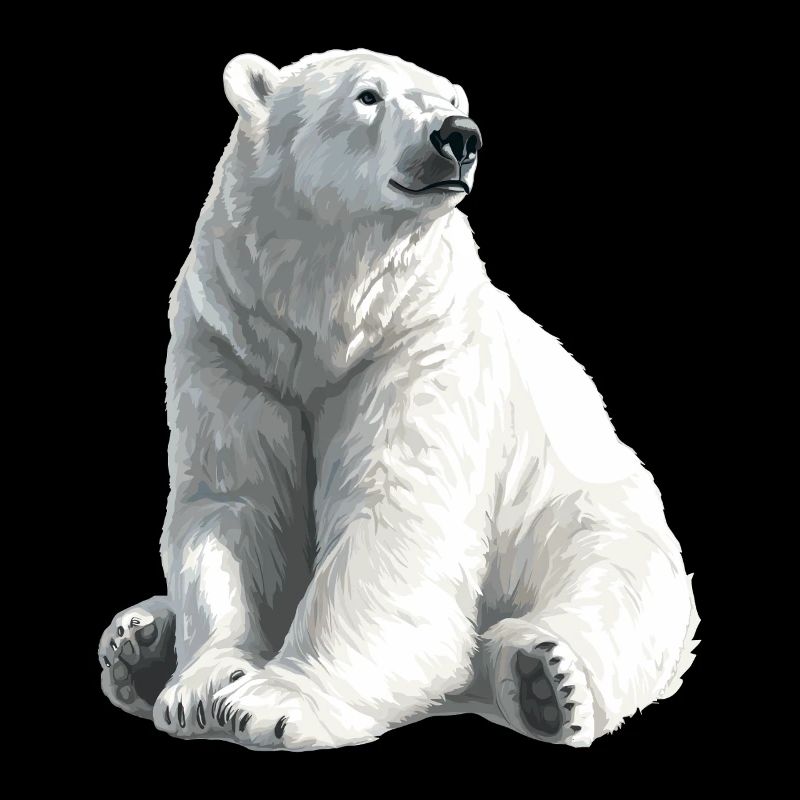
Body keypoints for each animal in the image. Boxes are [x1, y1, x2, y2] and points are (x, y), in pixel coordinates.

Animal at [98, 48, 699, 750]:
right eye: (367, 96)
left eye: (451, 98)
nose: (459, 135)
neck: (326, 307)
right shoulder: (233, 341)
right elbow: (235, 504)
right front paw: (200, 688)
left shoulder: (417, 336)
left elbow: (394, 506)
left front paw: (274, 702)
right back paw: (137, 645)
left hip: (589, 509)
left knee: (615, 583)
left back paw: (544, 678)